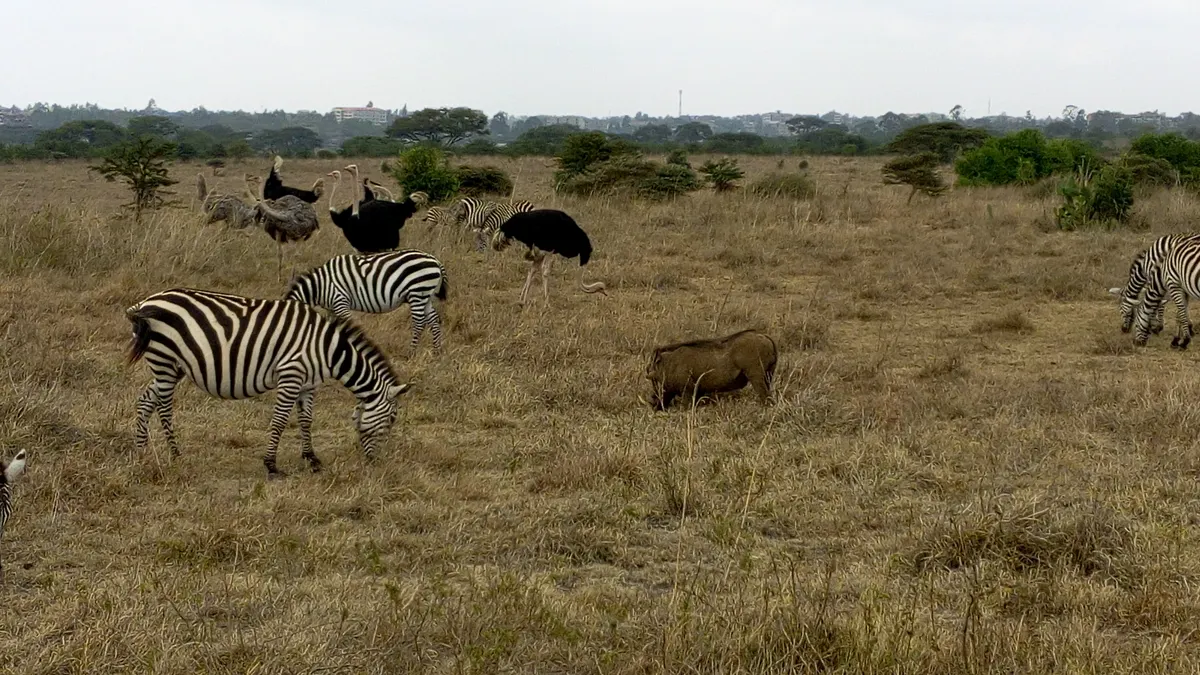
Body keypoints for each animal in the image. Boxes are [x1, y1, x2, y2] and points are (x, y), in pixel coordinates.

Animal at [126, 288, 410, 477]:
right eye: (391, 419)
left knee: (146, 400)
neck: (328, 348)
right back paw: (174, 453)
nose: (375, 461)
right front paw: (271, 465)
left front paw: (312, 459)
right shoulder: (291, 375)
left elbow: (306, 420)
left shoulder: (308, 383)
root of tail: (146, 301)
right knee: (164, 407)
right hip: (164, 360)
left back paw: (141, 452)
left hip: (172, 366)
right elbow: (281, 420)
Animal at [285, 250, 449, 351]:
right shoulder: (332, 308)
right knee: (433, 320)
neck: (320, 286)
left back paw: (411, 352)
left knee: (419, 323)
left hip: (417, 292)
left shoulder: (340, 302)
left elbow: (349, 325)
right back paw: (437, 351)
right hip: (425, 295)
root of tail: (435, 260)